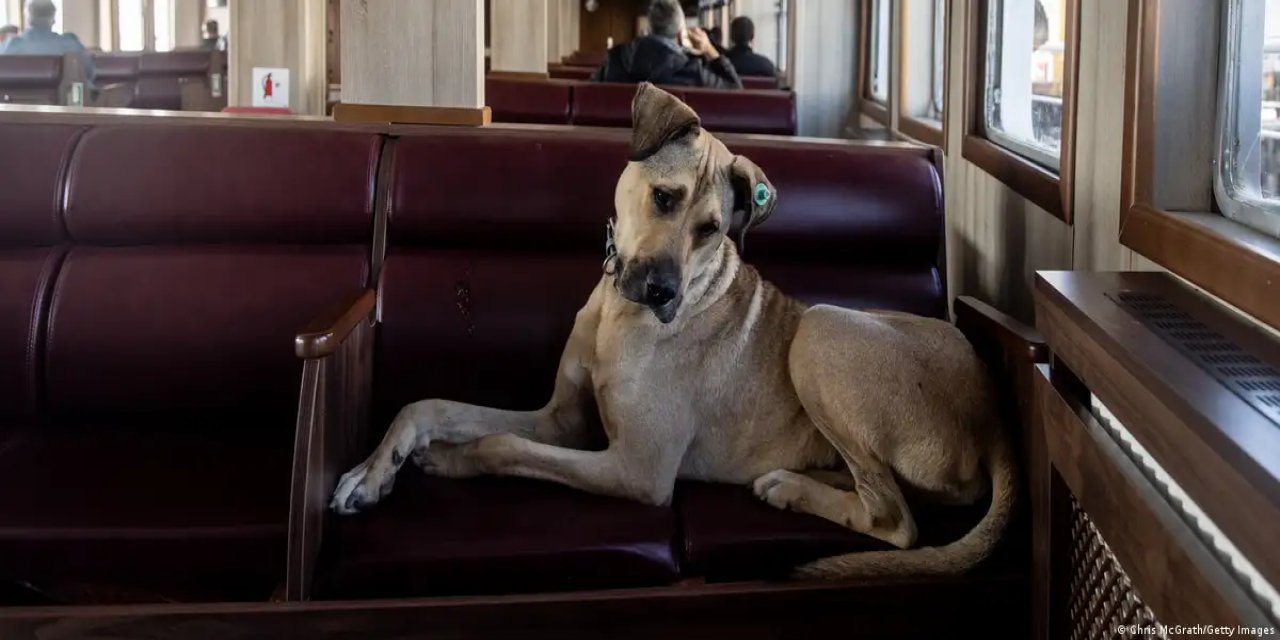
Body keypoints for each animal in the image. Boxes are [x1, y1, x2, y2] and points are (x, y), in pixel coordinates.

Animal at [330, 81, 1018, 581]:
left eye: (711, 228)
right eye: (664, 197)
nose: (661, 292)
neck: (619, 313)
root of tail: (994, 419)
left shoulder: (637, 468)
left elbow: (500, 445)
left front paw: (450, 461)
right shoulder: (561, 420)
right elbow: (431, 405)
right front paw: (373, 471)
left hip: (822, 328)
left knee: (895, 519)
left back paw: (792, 489)